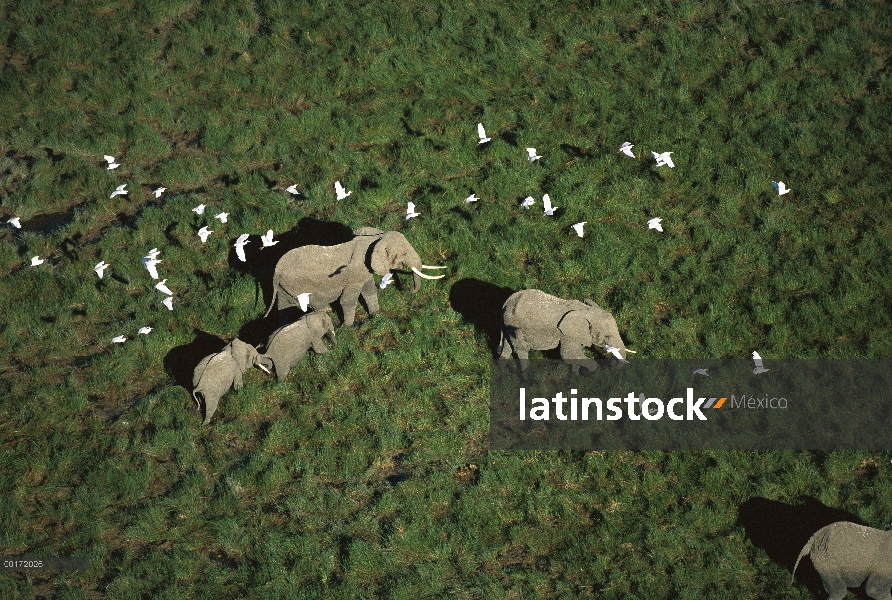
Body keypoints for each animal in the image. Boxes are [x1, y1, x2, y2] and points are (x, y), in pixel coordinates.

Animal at [264, 227, 446, 326]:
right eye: (404, 254)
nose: (409, 290)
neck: (376, 238)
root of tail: (277, 271)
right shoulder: (354, 275)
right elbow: (348, 300)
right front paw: (349, 326)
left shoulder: (365, 272)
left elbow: (369, 291)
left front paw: (375, 315)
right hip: (299, 284)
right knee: (315, 303)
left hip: (286, 286)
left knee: (283, 308)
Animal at [498, 288, 632, 372]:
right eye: (607, 336)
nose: (612, 362)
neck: (586, 310)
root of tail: (507, 303)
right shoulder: (566, 334)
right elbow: (567, 355)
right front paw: (592, 368)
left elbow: (576, 352)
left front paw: (575, 376)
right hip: (515, 324)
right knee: (521, 348)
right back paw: (526, 373)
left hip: (509, 324)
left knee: (508, 344)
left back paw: (502, 369)